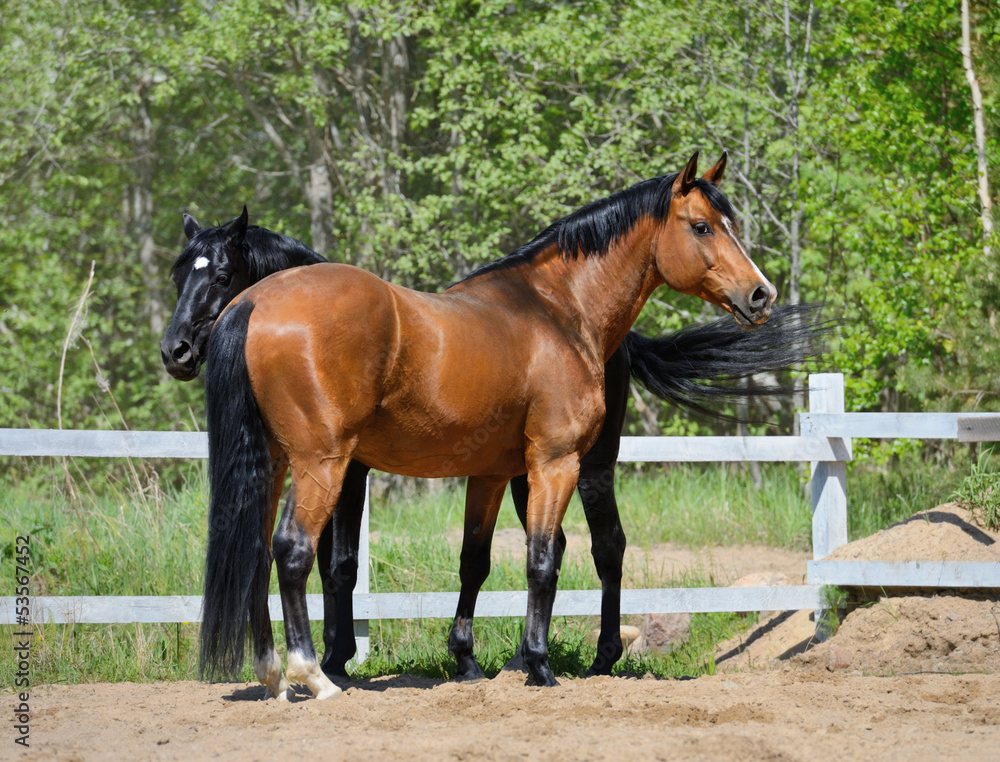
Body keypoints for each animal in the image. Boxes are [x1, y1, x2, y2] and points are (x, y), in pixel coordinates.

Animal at [162, 196, 820, 684]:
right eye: (703, 226)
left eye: (220, 273)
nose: (176, 351)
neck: (556, 311)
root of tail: (258, 305)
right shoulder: (514, 464)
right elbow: (510, 562)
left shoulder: (480, 469)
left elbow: (467, 562)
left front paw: (461, 659)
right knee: (287, 550)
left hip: (572, 468)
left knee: (604, 548)